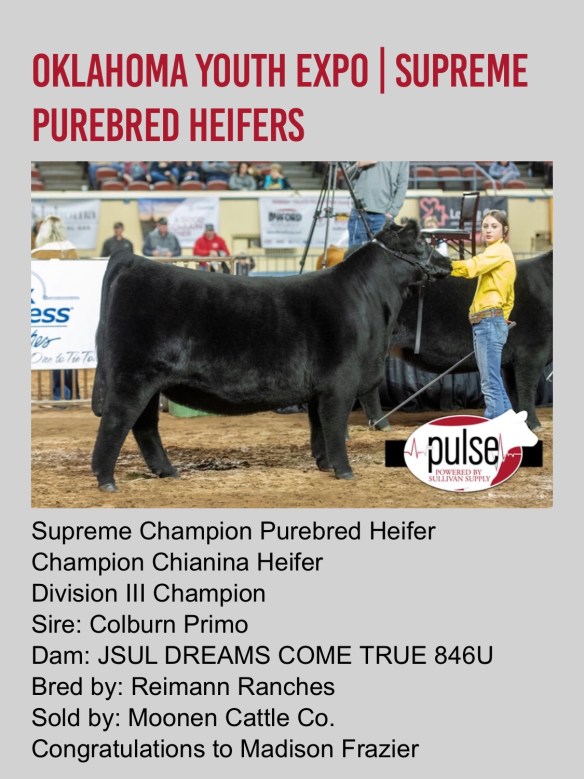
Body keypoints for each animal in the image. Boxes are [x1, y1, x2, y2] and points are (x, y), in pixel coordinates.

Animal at [91, 219, 451, 491]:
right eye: (421, 242)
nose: (447, 263)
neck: (368, 301)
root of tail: (133, 261)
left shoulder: (319, 389)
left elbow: (318, 428)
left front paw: (323, 464)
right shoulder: (341, 383)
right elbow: (335, 427)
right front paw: (345, 470)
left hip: (149, 382)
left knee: (145, 426)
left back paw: (166, 471)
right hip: (132, 377)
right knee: (116, 422)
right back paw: (107, 480)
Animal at [377, 250, 552, 431]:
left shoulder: (512, 361)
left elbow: (514, 391)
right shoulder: (532, 352)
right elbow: (527, 389)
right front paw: (534, 424)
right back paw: (381, 423)